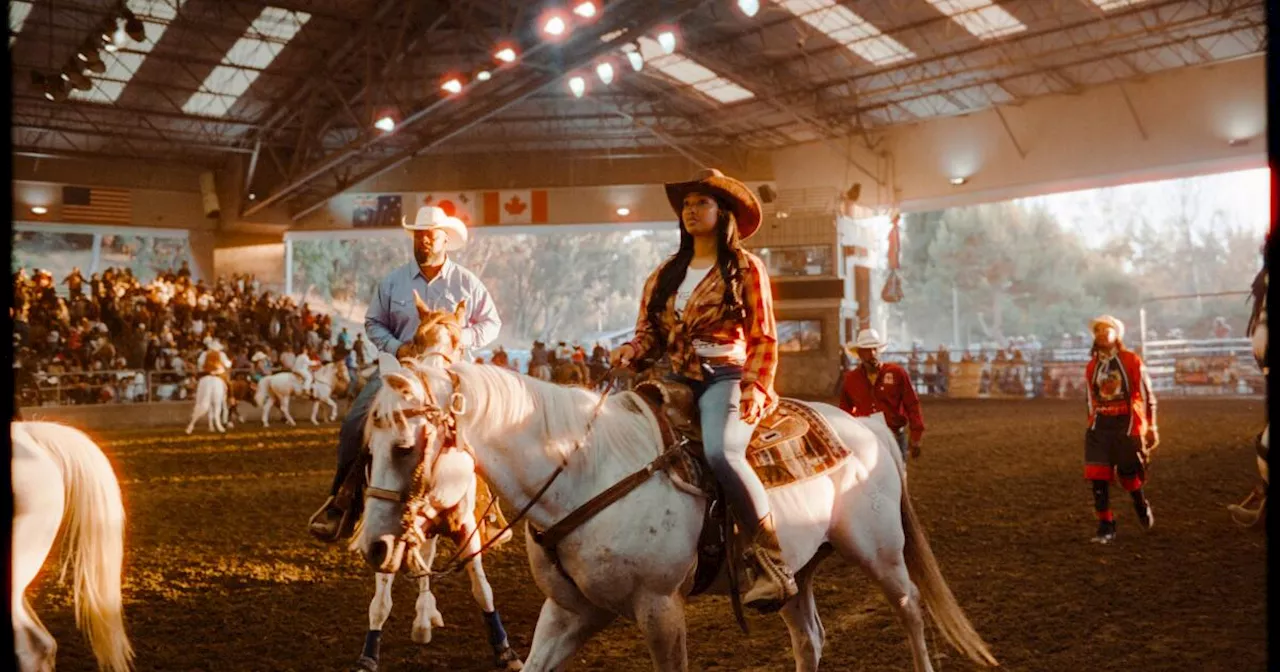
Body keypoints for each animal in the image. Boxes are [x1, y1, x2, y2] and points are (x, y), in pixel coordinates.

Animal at [343, 295, 522, 670]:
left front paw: (505, 650)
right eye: (418, 338)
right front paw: (369, 654)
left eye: (457, 341)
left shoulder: (465, 525)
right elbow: (381, 599)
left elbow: (481, 588)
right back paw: (424, 619)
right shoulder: (387, 535)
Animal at [384, 363, 993, 665]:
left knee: (911, 610)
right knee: (810, 637)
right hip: (799, 572)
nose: (378, 545)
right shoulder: (573, 610)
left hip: (880, 551)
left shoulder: (659, 608)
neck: (587, 471)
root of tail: (866, 425)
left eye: (405, 446)